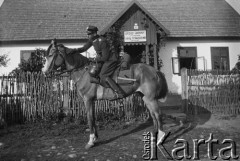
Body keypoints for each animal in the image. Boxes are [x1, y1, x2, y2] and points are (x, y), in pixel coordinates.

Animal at [41, 39, 169, 149]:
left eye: (51, 55)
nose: (44, 72)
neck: (84, 72)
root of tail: (154, 70)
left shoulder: (87, 100)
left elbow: (90, 119)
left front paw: (91, 141)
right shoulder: (91, 101)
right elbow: (93, 118)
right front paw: (95, 138)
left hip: (151, 99)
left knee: (158, 115)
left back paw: (160, 138)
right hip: (145, 98)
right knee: (153, 115)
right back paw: (153, 137)